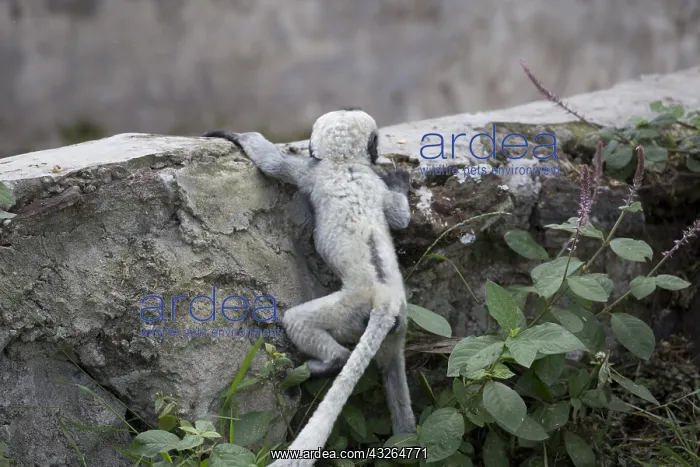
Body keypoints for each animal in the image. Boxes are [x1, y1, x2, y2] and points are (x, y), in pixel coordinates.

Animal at [202, 109, 416, 465]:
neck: (346, 163)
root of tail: (386, 300)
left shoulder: (310, 172)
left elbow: (272, 163)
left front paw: (232, 135)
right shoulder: (373, 184)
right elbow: (399, 217)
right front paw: (400, 185)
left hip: (350, 311)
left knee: (302, 322)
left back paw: (329, 363)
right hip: (398, 327)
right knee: (392, 369)